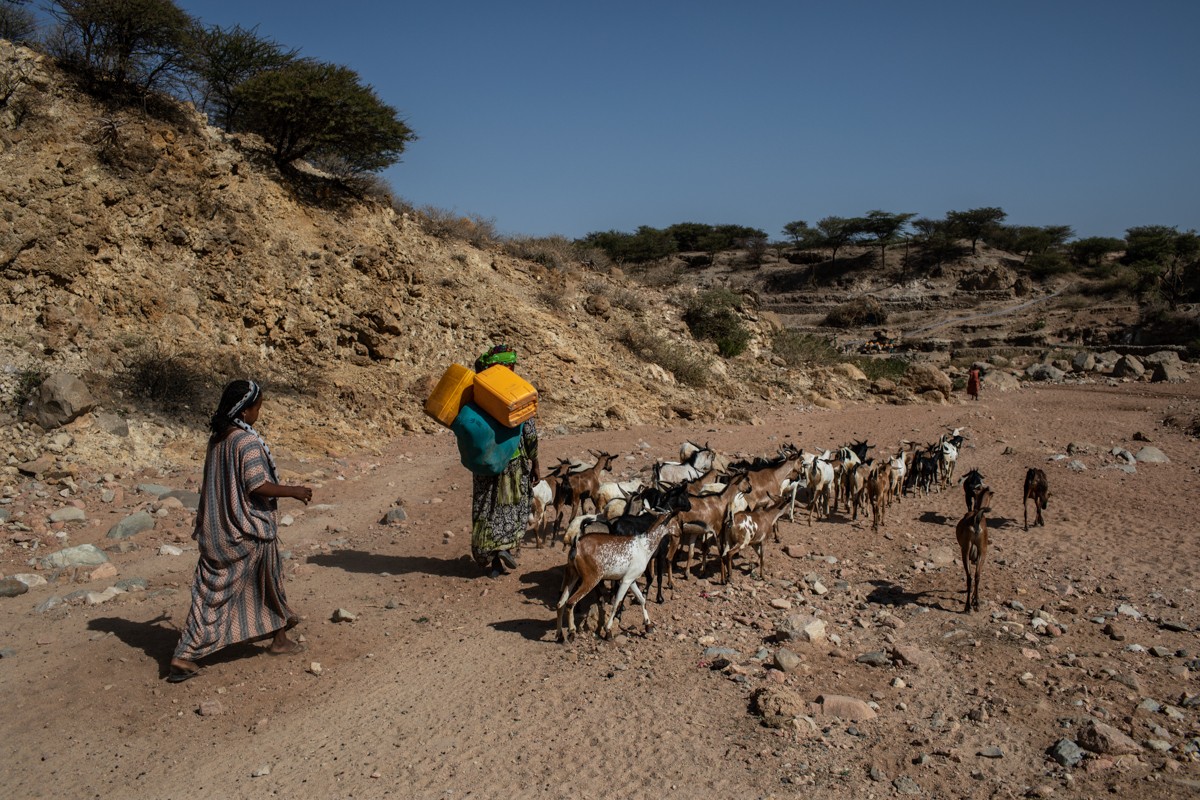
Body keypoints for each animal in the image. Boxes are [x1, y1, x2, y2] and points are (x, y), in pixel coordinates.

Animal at [554, 482, 691, 642]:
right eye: (674, 520)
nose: (680, 532)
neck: (643, 545)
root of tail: (576, 544)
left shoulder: (631, 579)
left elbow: (642, 599)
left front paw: (648, 626)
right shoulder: (626, 580)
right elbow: (617, 602)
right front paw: (608, 631)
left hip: (573, 575)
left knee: (561, 603)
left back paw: (560, 635)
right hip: (590, 579)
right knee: (571, 602)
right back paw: (571, 632)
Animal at [955, 482, 993, 614]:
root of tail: (976, 519)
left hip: (967, 551)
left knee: (972, 576)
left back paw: (970, 605)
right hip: (978, 551)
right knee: (975, 576)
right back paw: (974, 604)